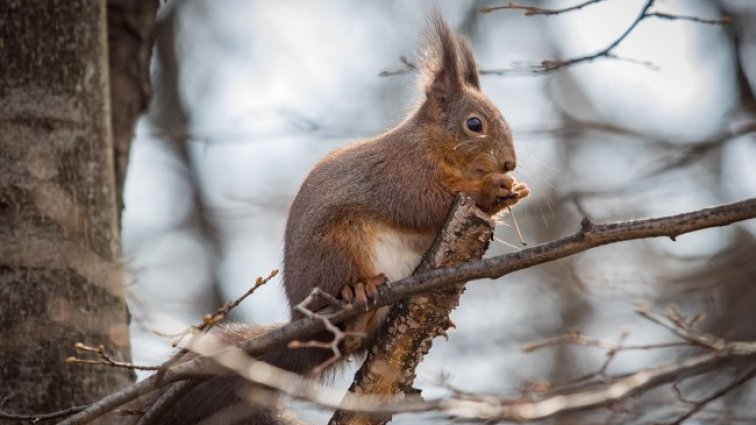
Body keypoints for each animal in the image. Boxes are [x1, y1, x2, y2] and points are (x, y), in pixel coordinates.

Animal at [157, 14, 528, 424]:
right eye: (474, 124)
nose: (509, 162)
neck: (432, 144)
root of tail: (299, 322)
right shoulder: (400, 175)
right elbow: (423, 204)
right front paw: (491, 190)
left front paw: (511, 191)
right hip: (338, 248)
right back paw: (357, 295)